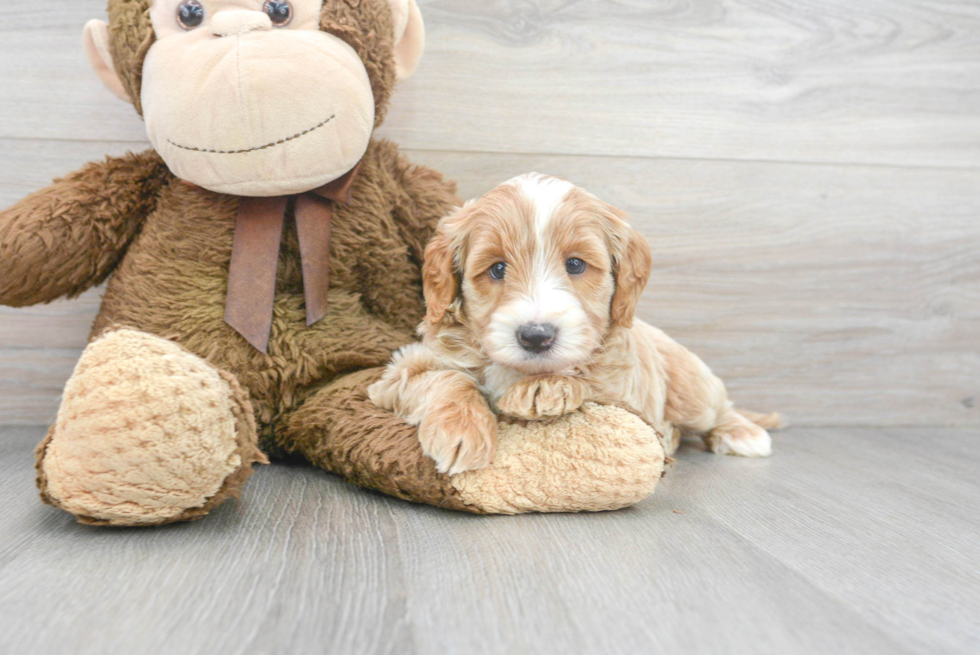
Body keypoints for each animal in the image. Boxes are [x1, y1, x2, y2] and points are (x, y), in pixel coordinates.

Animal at [370, 174, 780, 474]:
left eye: (576, 265)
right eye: (497, 269)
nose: (536, 336)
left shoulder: (624, 394)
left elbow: (587, 378)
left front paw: (545, 388)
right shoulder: (399, 372)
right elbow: (445, 377)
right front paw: (461, 430)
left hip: (691, 389)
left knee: (719, 408)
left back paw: (743, 433)